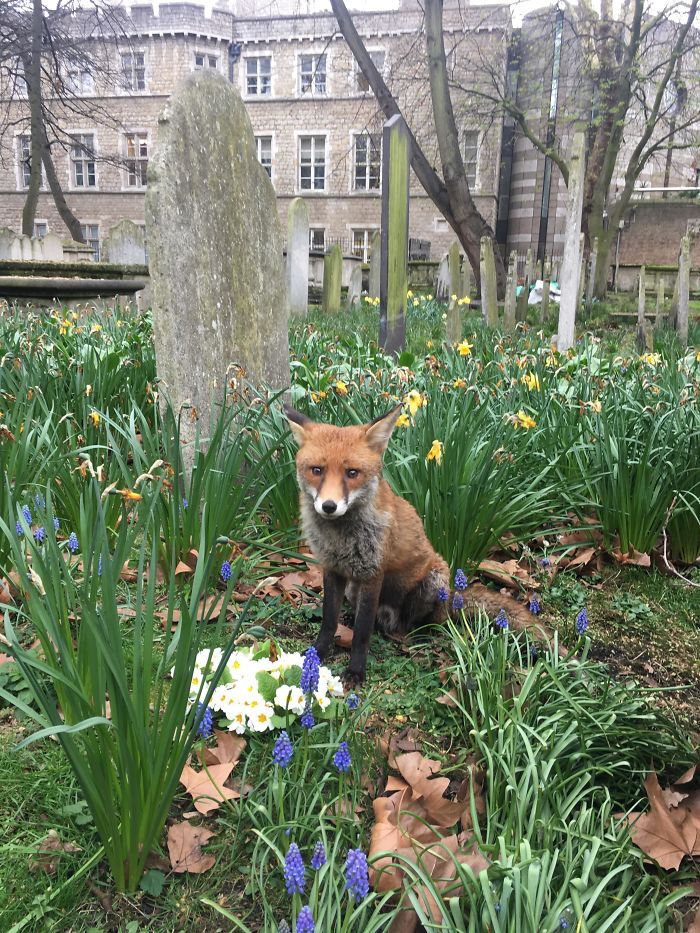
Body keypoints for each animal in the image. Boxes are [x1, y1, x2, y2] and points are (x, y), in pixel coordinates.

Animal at [284, 403, 450, 686]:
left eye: (352, 473)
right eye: (317, 470)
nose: (329, 506)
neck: (340, 538)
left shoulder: (374, 573)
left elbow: (362, 632)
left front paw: (356, 671)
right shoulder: (332, 569)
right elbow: (328, 620)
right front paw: (319, 652)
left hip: (435, 582)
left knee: (425, 620)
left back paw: (421, 634)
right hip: (353, 588)